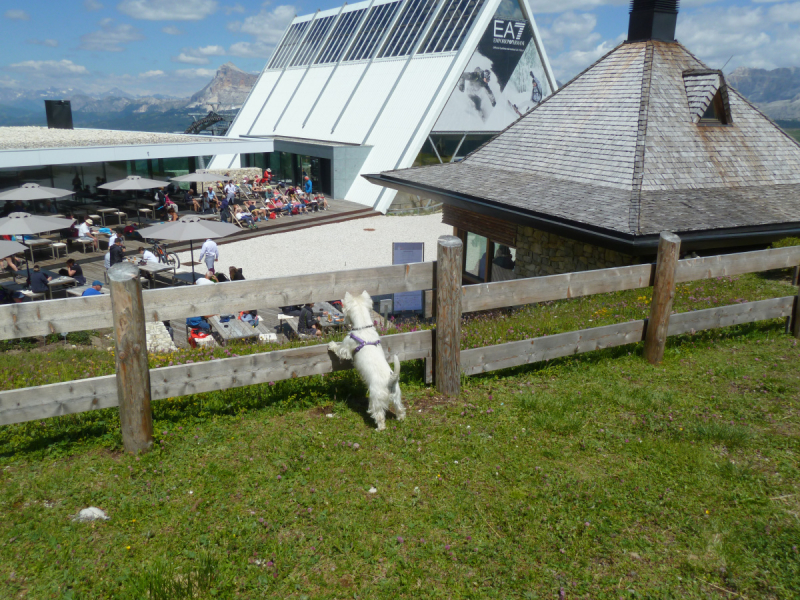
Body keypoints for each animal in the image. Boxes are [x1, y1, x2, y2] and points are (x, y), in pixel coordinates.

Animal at [326, 292, 406, 428]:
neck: (363, 327)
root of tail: (391, 380)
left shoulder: (346, 347)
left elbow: (339, 349)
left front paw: (331, 345)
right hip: (397, 395)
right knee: (400, 408)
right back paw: (400, 418)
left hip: (376, 397)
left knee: (379, 414)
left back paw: (379, 428)